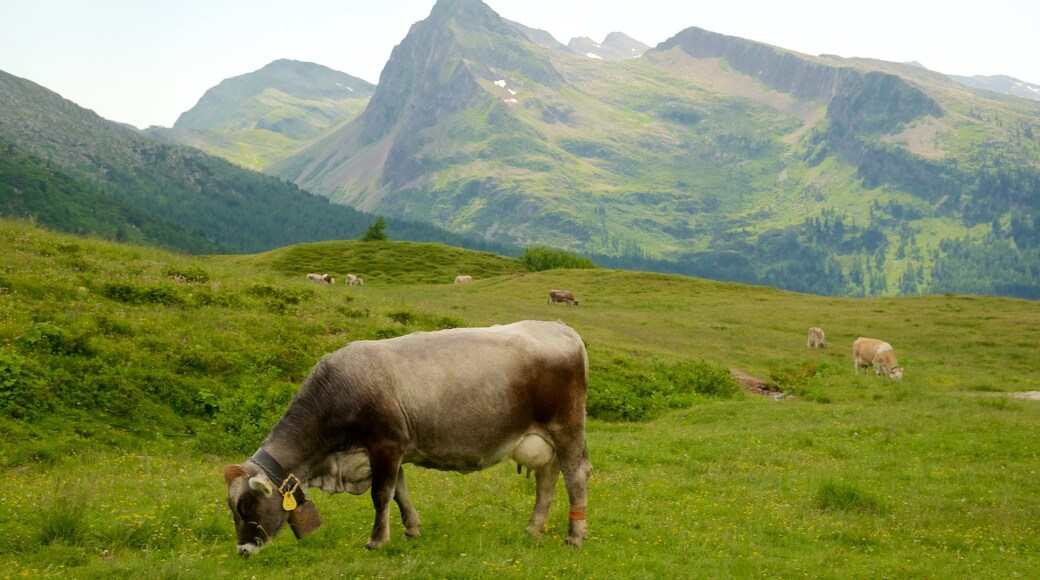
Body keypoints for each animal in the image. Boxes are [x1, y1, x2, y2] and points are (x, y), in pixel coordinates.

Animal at [219, 320, 594, 557]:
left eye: (247, 506)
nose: (243, 551)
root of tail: (559, 327)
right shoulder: (392, 448)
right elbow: (400, 492)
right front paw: (412, 529)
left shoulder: (385, 443)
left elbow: (381, 495)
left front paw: (376, 540)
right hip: (540, 442)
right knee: (547, 480)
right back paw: (533, 529)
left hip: (566, 428)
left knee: (575, 477)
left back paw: (575, 537)